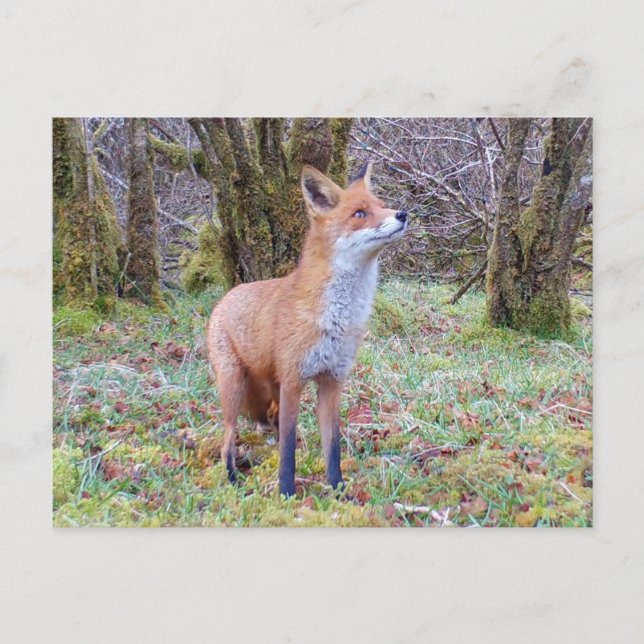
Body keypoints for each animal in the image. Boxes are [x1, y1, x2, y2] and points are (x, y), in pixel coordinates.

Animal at [206, 161, 408, 496]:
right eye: (360, 213)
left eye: (382, 205)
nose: (402, 214)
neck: (337, 320)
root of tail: (225, 297)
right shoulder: (293, 381)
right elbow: (288, 451)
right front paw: (287, 493)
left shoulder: (332, 381)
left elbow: (332, 448)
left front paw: (338, 491)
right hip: (234, 387)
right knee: (228, 439)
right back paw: (233, 479)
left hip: (269, 388)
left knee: (271, 423)